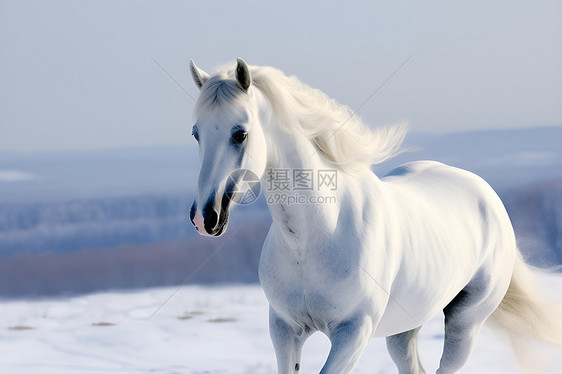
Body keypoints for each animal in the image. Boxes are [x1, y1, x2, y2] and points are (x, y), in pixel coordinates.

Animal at [187, 57, 556, 372]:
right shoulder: (284, 329)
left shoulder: (353, 332)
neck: (314, 238)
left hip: (466, 322)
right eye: (196, 133)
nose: (205, 218)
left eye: (241, 133)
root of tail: (486, 194)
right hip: (404, 329)